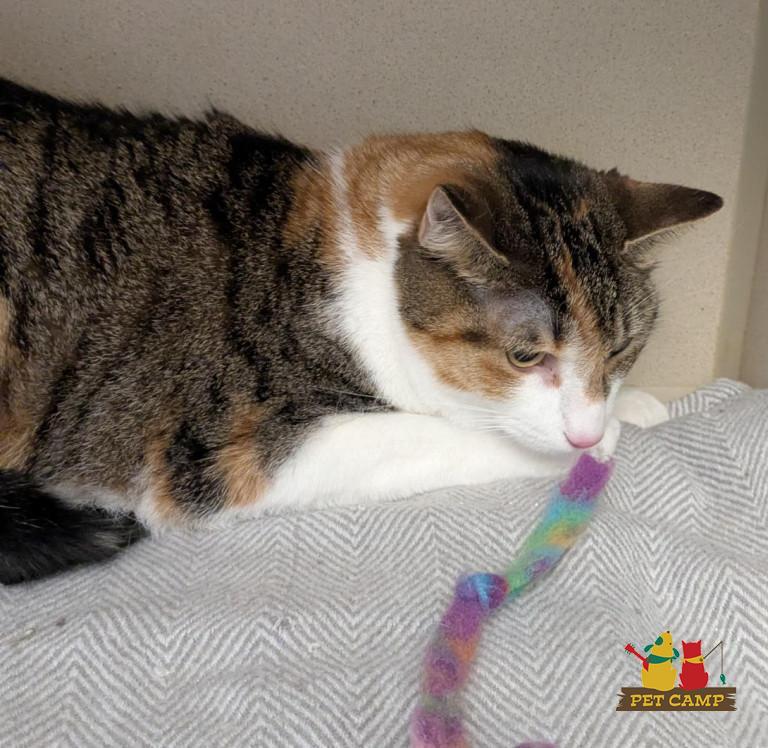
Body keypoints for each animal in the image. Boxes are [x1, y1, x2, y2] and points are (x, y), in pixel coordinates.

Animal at [0, 78, 722, 584]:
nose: (587, 432)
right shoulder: (223, 448)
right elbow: (442, 434)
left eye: (621, 348)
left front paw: (636, 405)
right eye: (525, 356)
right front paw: (600, 440)